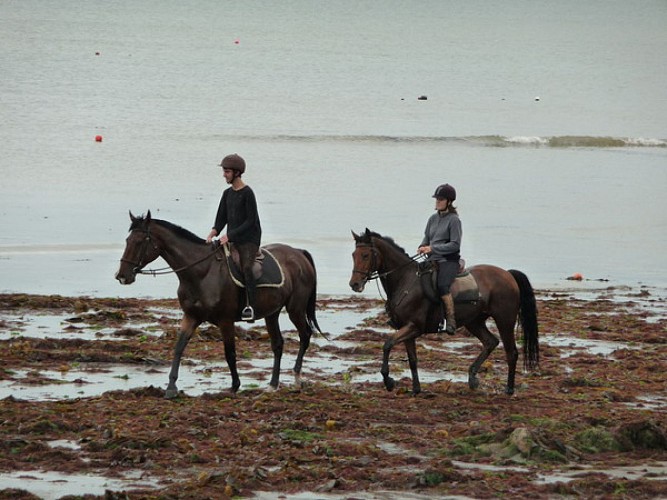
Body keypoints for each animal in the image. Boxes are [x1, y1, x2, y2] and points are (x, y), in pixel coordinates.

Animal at [115, 211, 324, 398]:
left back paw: (297, 377)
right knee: (278, 344)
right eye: (127, 240)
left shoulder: (226, 321)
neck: (202, 272)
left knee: (305, 335)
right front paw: (171, 387)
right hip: (272, 313)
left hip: (295, 309)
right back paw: (273, 384)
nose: (122, 276)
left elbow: (229, 353)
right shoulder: (191, 316)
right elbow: (179, 347)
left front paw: (234, 386)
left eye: (140, 241)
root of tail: (299, 253)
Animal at [348, 229, 540, 396]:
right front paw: (416, 389)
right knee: (490, 342)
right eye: (353, 255)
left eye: (365, 255)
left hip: (504, 320)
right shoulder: (407, 330)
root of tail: (508, 274)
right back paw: (472, 378)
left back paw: (509, 389)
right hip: (474, 322)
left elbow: (387, 344)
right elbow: (412, 359)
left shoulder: (414, 327)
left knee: (511, 353)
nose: (354, 284)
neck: (406, 281)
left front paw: (389, 381)